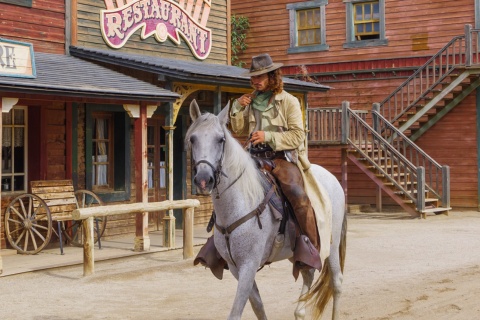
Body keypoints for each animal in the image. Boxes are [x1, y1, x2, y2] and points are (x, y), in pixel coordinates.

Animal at [186, 100, 346, 320]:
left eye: (220, 139)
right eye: (193, 139)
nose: (203, 179)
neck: (238, 205)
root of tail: (332, 179)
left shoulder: (249, 265)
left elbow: (236, 313)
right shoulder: (236, 268)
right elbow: (258, 307)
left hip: (332, 243)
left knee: (337, 282)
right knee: (308, 273)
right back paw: (300, 311)